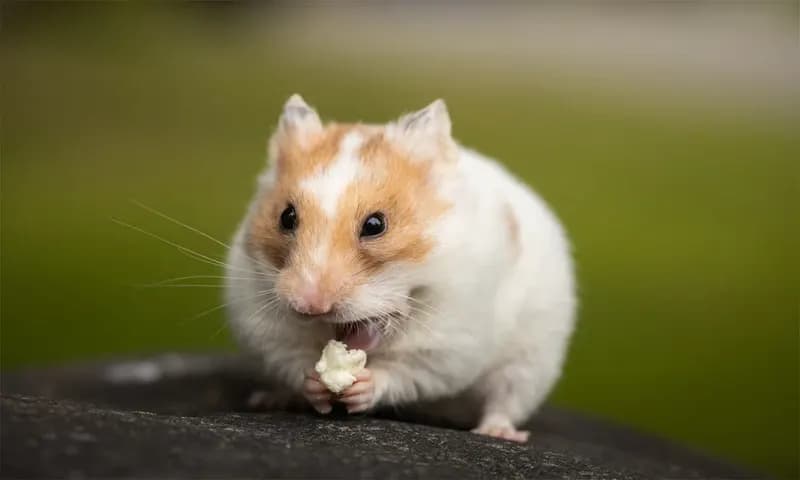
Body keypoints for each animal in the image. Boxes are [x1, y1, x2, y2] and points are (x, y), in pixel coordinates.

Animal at [225, 94, 576, 442]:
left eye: (375, 225)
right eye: (286, 217)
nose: (311, 306)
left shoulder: (447, 346)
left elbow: (403, 372)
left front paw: (360, 385)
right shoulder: (267, 329)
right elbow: (294, 360)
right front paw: (316, 382)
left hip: (529, 364)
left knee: (504, 400)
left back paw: (498, 432)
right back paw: (271, 399)